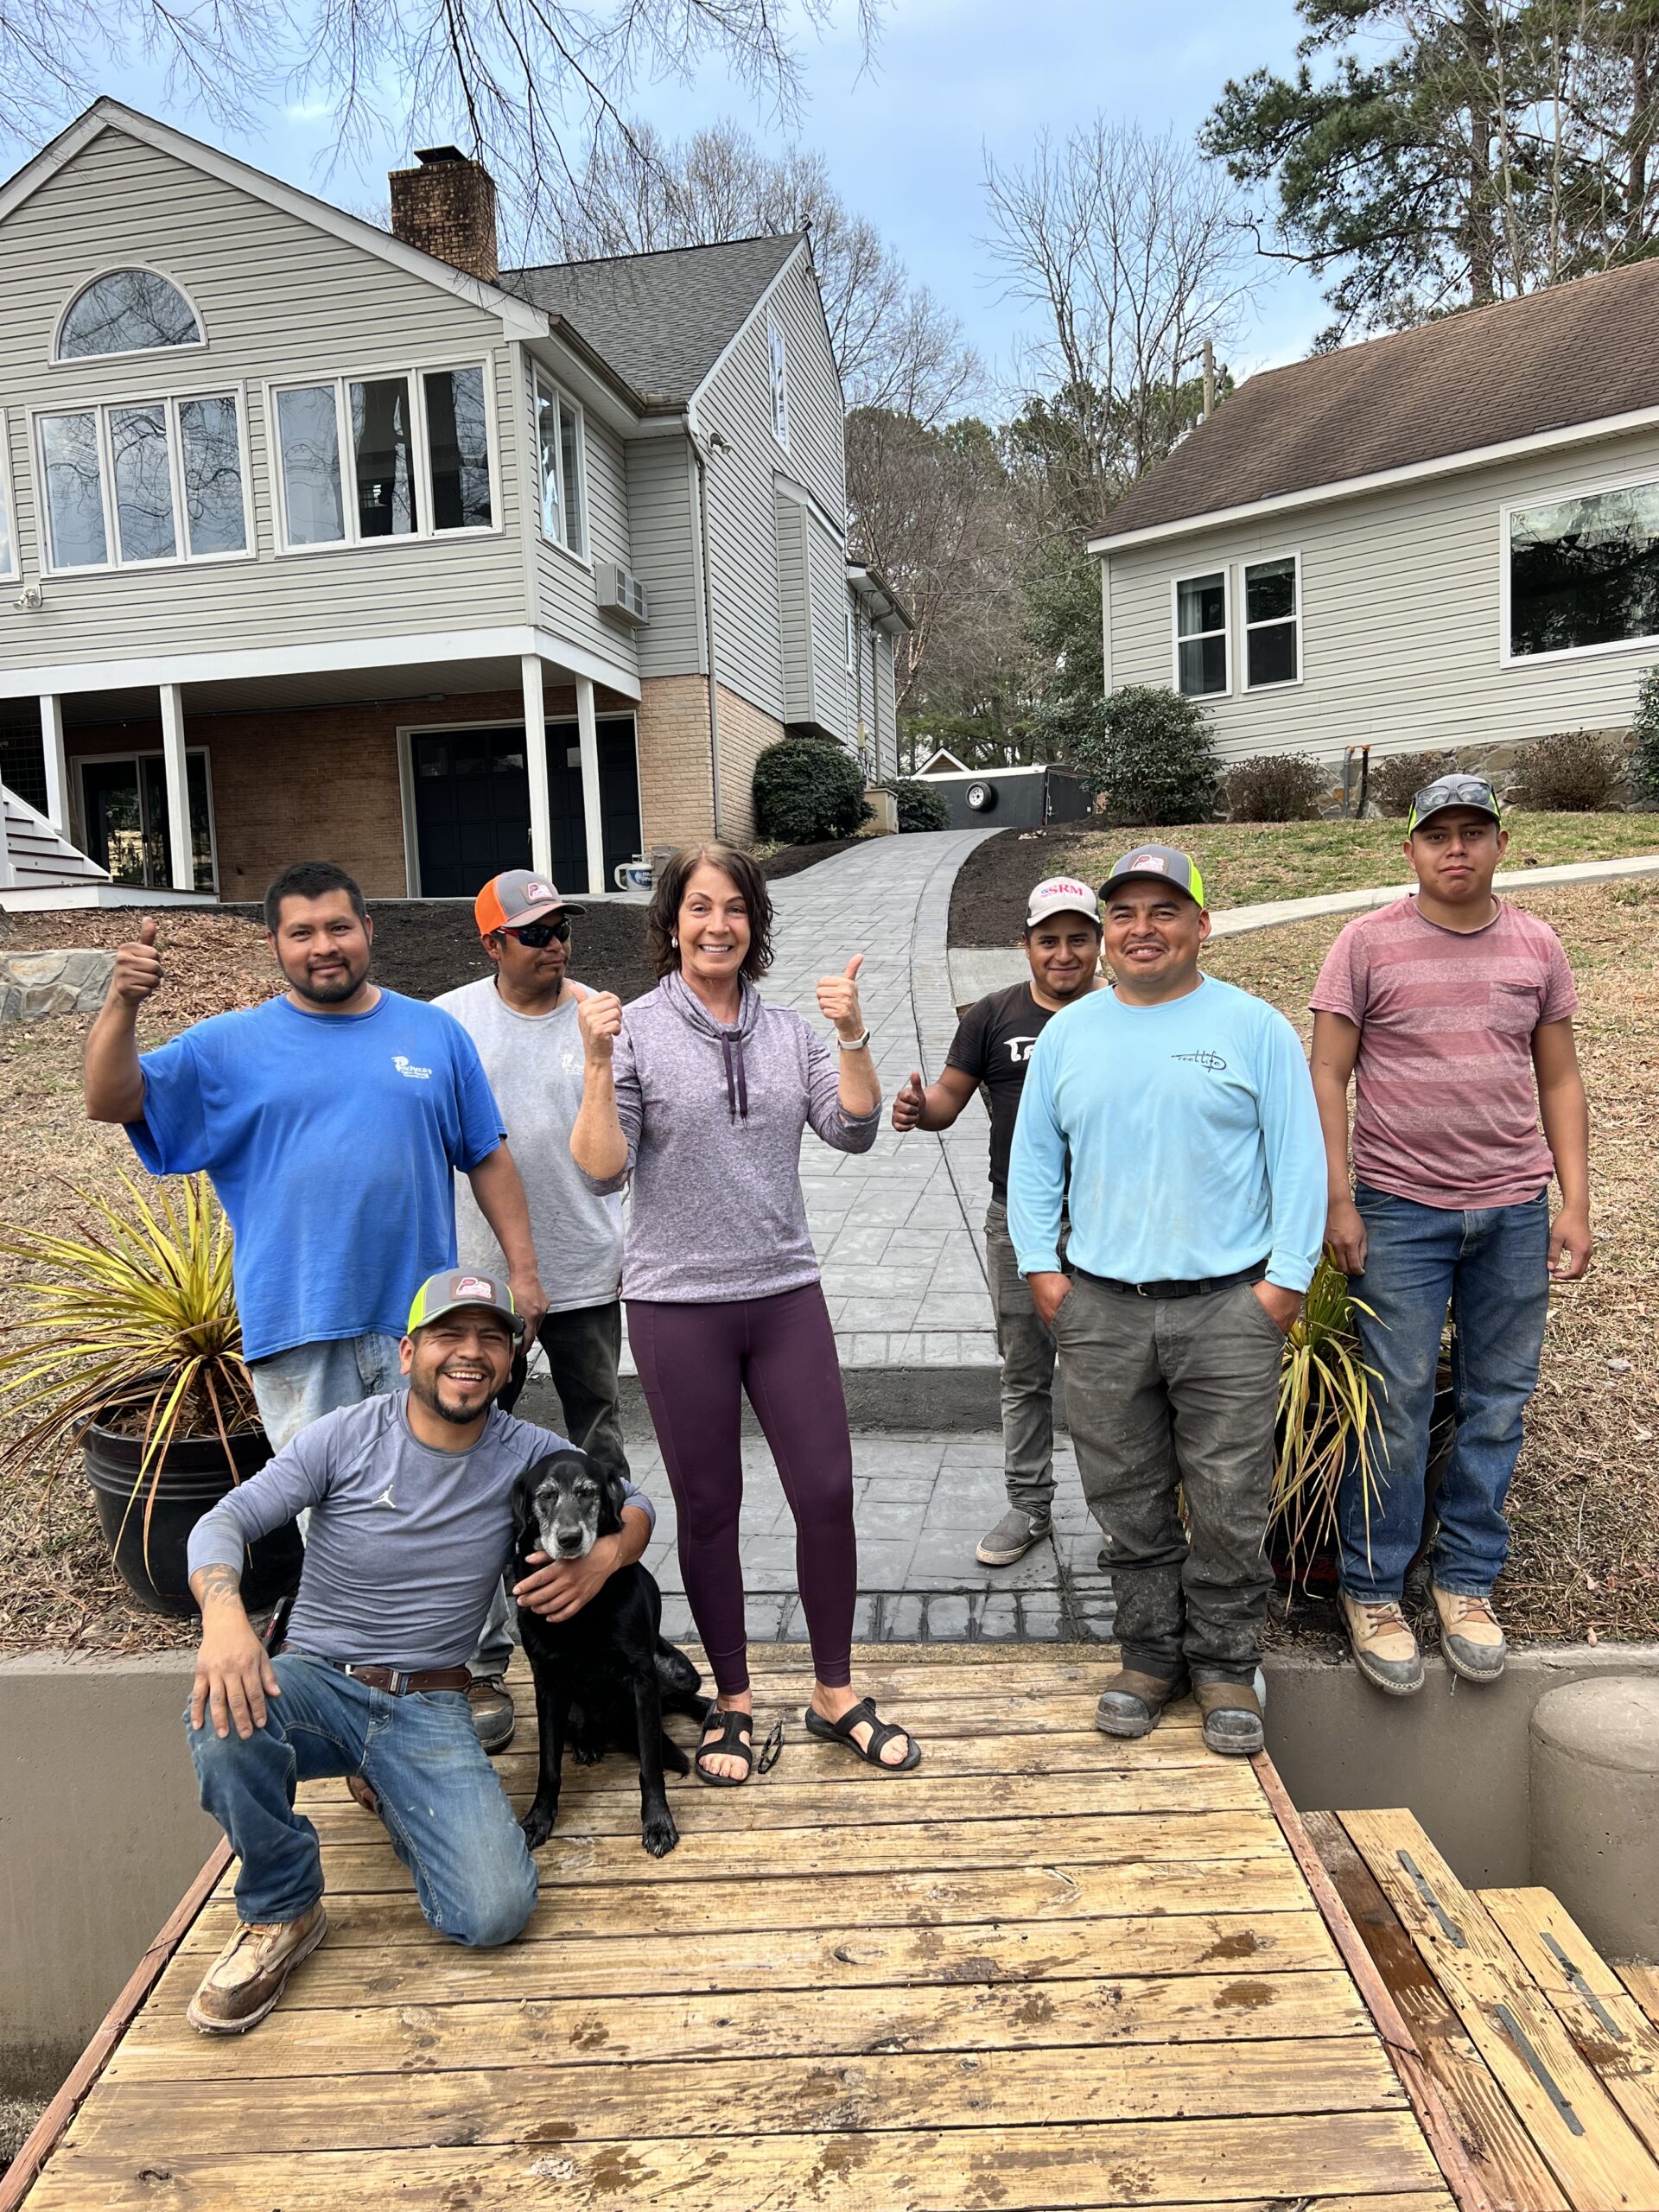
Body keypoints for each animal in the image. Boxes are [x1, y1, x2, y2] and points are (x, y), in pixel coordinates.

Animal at [511, 1451, 712, 1849]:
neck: (582, 1610)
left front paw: (658, 1822)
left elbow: (650, 1764)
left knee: (677, 1700)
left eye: (588, 1493)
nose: (569, 1539)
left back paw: (709, 1710)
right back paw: (587, 1741)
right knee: (584, 1724)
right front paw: (539, 1818)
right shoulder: (547, 1684)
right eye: (546, 1496)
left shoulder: (642, 1678)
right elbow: (548, 1767)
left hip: (679, 1671)